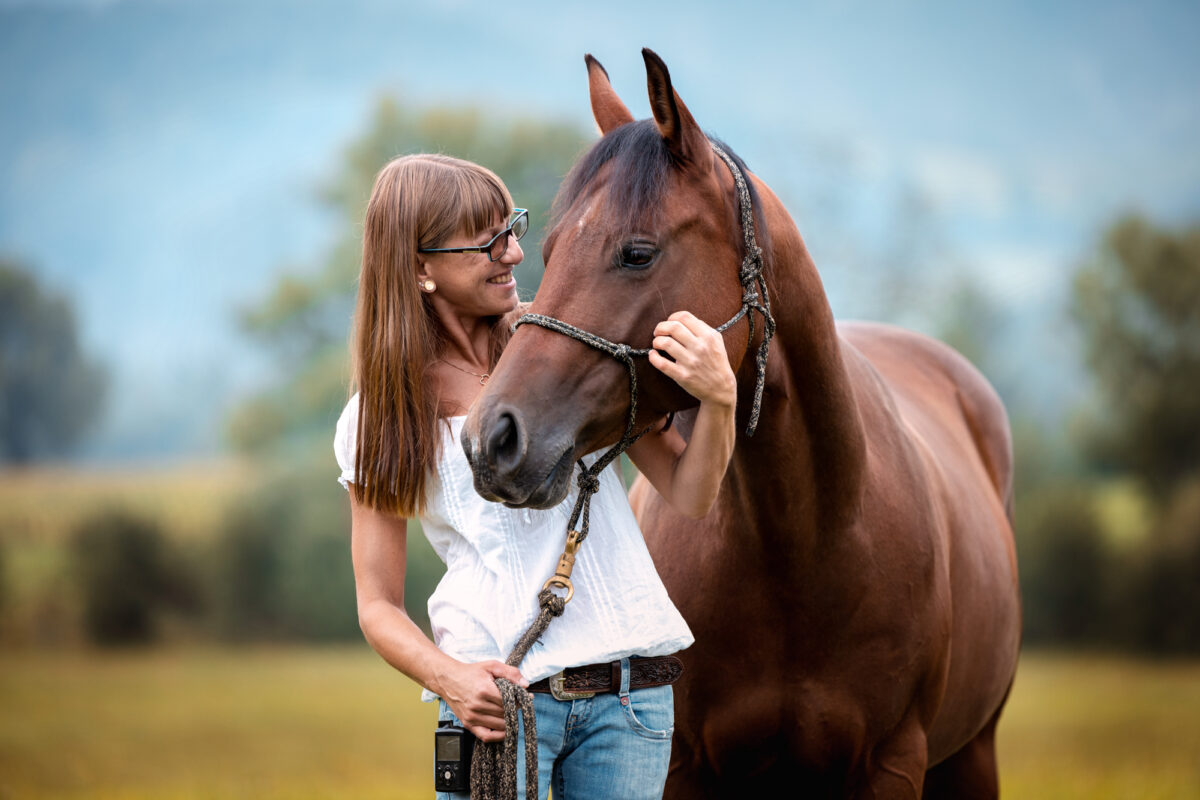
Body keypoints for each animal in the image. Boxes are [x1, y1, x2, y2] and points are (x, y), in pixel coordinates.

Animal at [461, 49, 1021, 799]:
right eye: (546, 249)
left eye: (638, 253)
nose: (492, 437)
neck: (803, 547)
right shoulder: (682, 763)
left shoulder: (893, 763)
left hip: (972, 755)